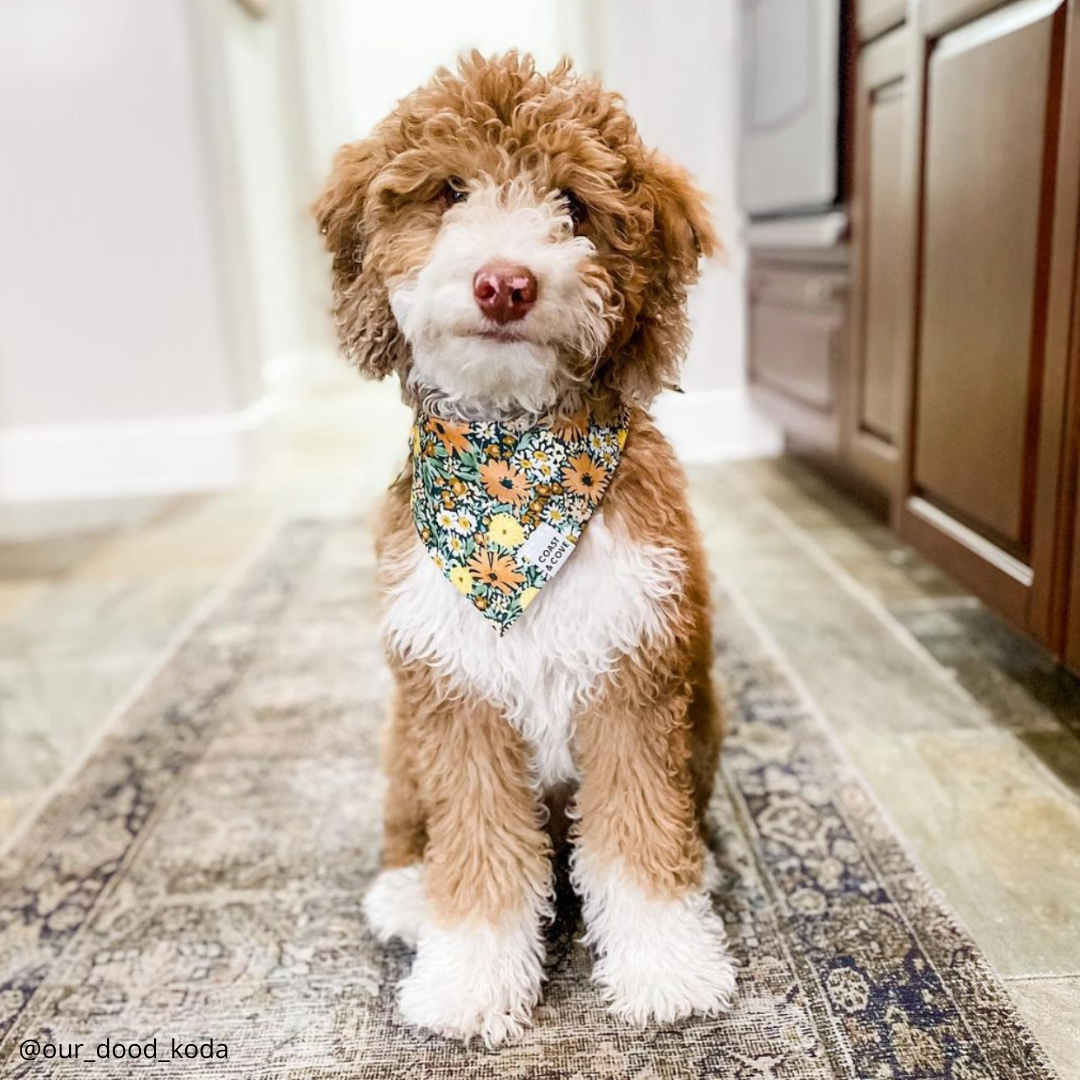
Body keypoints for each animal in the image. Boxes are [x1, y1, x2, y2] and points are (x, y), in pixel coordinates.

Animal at [313, 52, 734, 1045]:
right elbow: (478, 854)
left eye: (572, 204)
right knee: (410, 827)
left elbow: (639, 840)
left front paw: (669, 969)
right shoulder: (456, 697)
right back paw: (405, 895)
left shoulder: (634, 681)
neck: (512, 479)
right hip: (404, 735)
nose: (504, 283)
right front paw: (468, 981)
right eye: (449, 191)